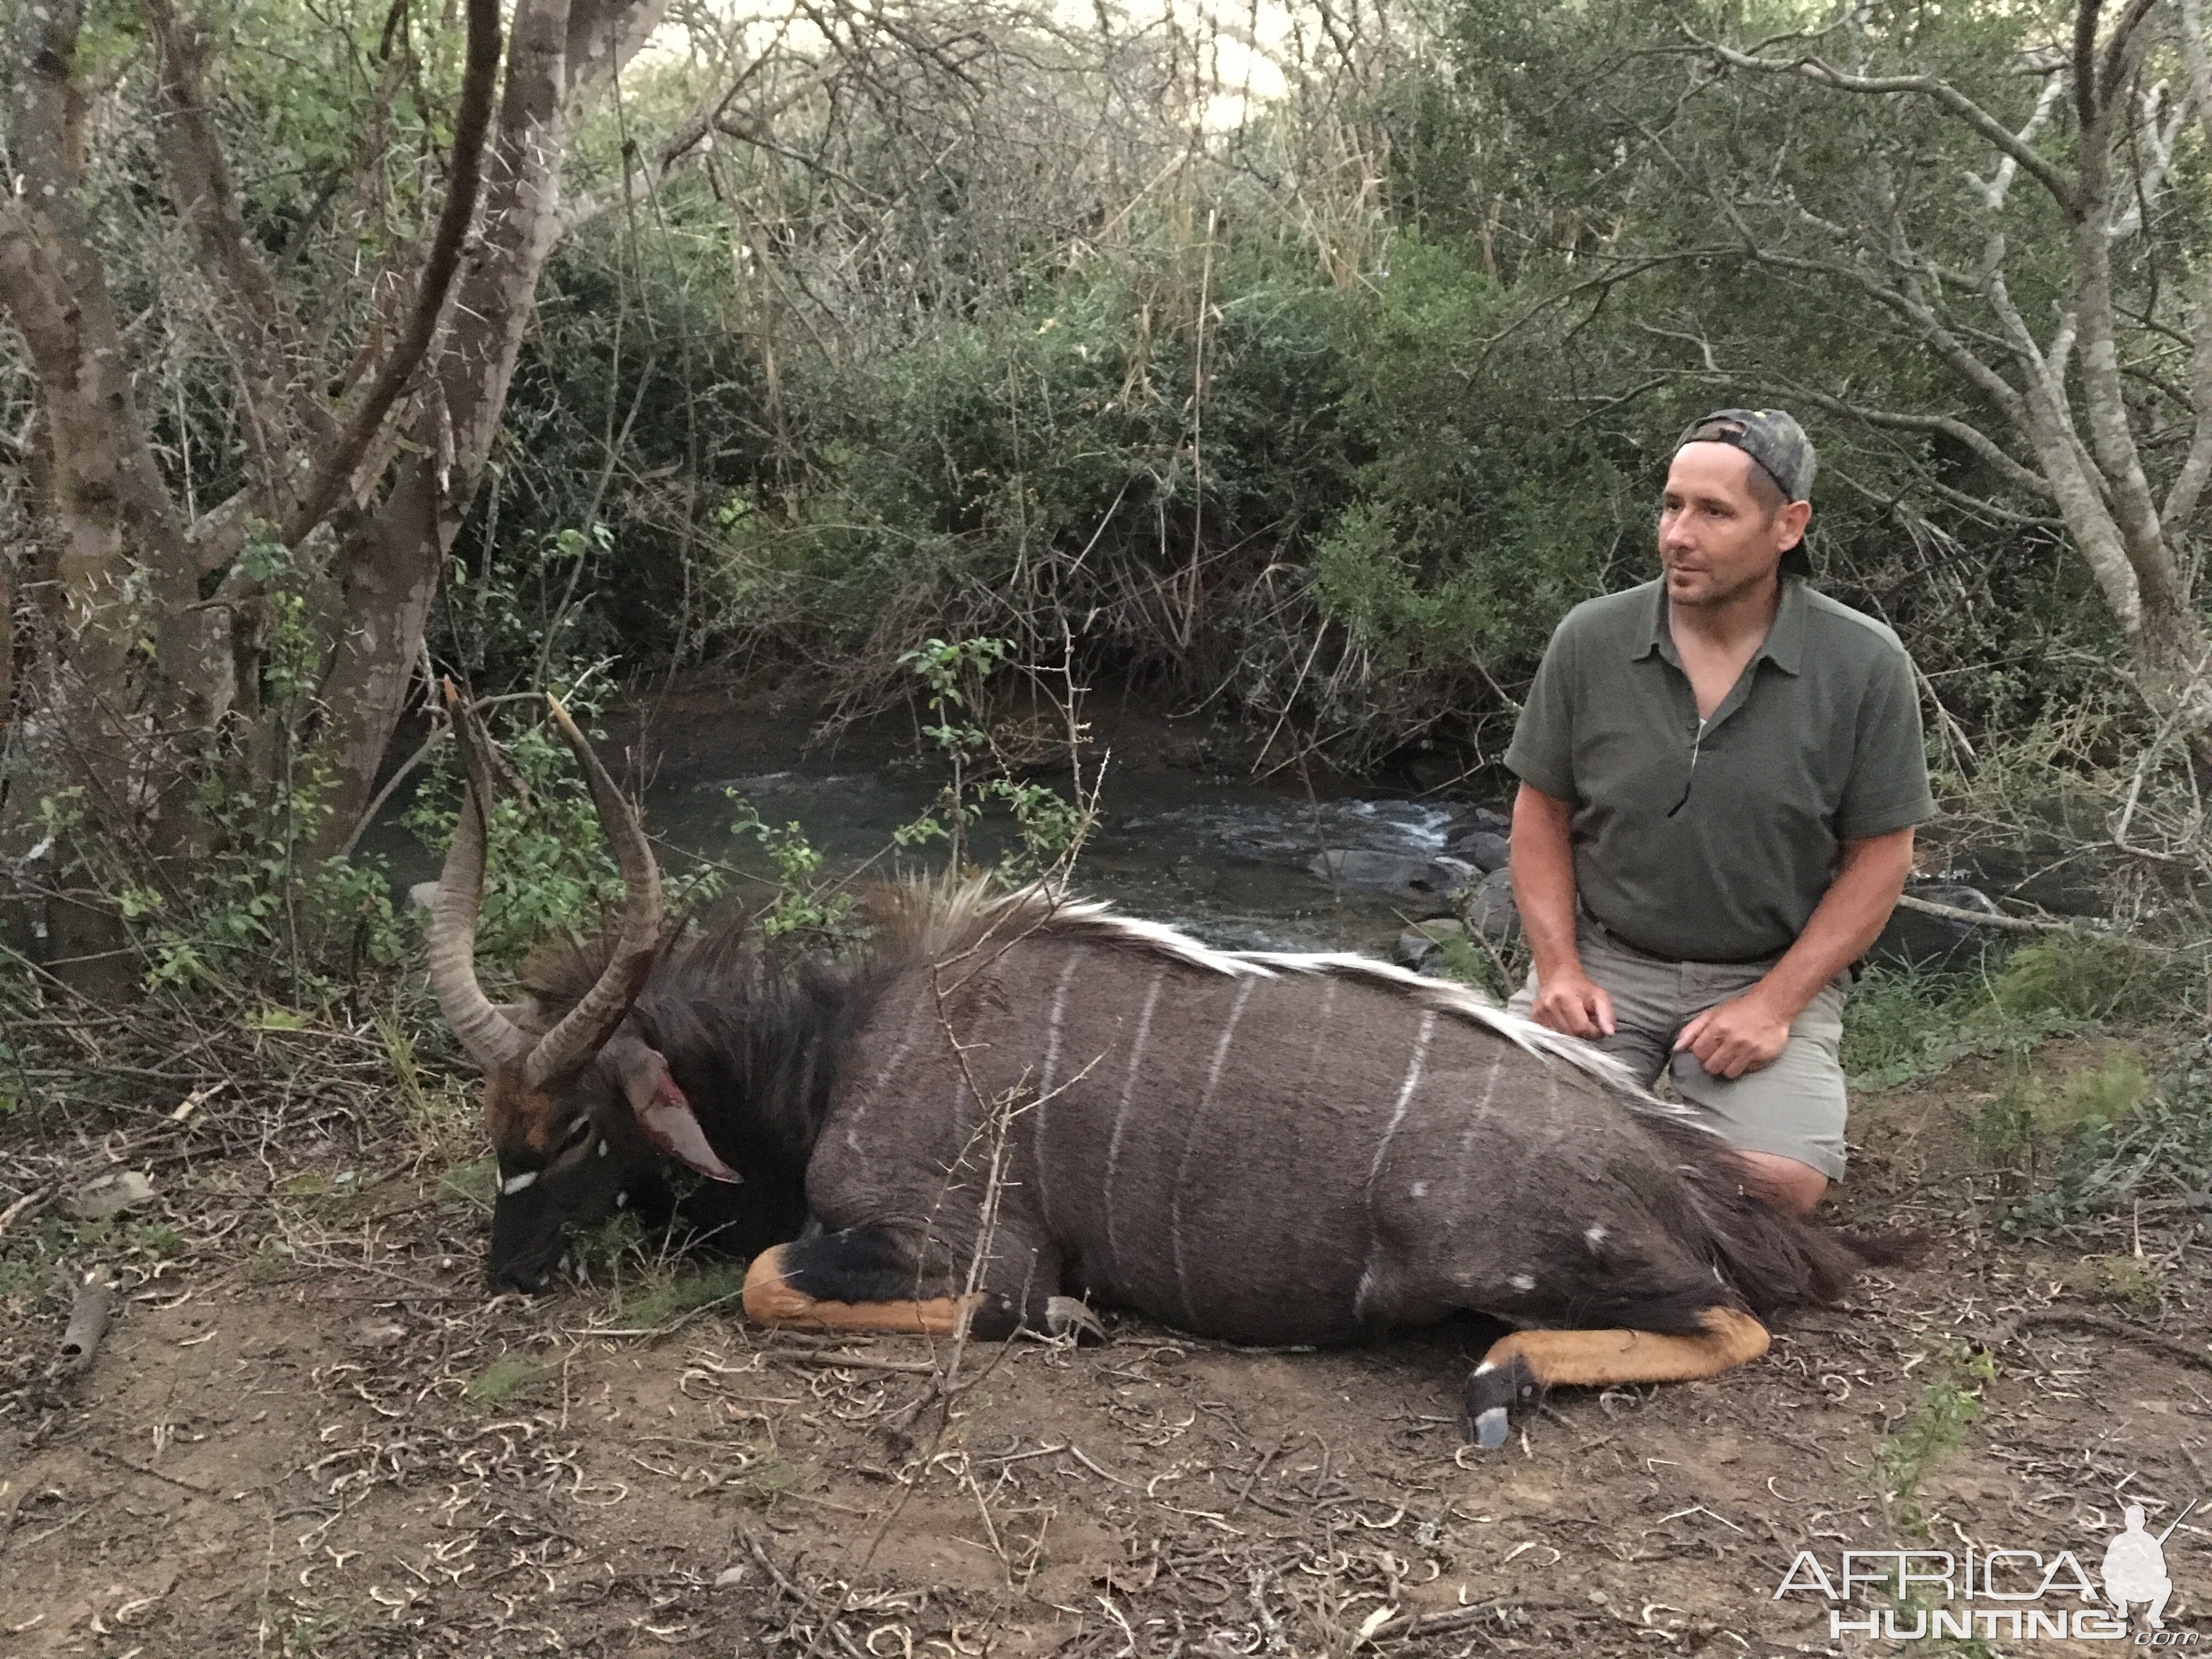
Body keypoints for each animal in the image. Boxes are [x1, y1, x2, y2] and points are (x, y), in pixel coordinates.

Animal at [427, 695, 1902, 1451]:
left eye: (574, 1131)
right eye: (498, 1122)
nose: (503, 1272)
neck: (835, 1051)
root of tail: (1678, 1170)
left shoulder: (967, 1244)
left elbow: (772, 1283)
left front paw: (1070, 1322)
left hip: (1492, 1251)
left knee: (1729, 1318)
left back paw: (1502, 1381)